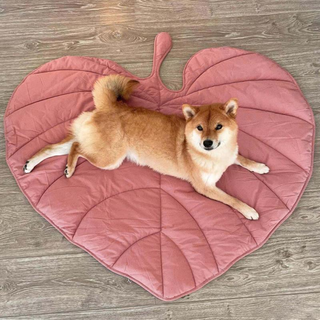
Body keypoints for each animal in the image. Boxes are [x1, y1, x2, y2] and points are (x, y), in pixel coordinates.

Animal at [23, 75, 268, 220]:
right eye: (199, 128)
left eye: (218, 127)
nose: (208, 142)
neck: (216, 156)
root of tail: (111, 105)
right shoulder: (205, 188)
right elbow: (232, 199)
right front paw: (249, 210)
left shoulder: (231, 154)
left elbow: (243, 158)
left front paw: (259, 166)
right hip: (109, 159)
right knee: (76, 147)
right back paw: (70, 168)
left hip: (91, 143)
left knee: (52, 147)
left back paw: (31, 164)